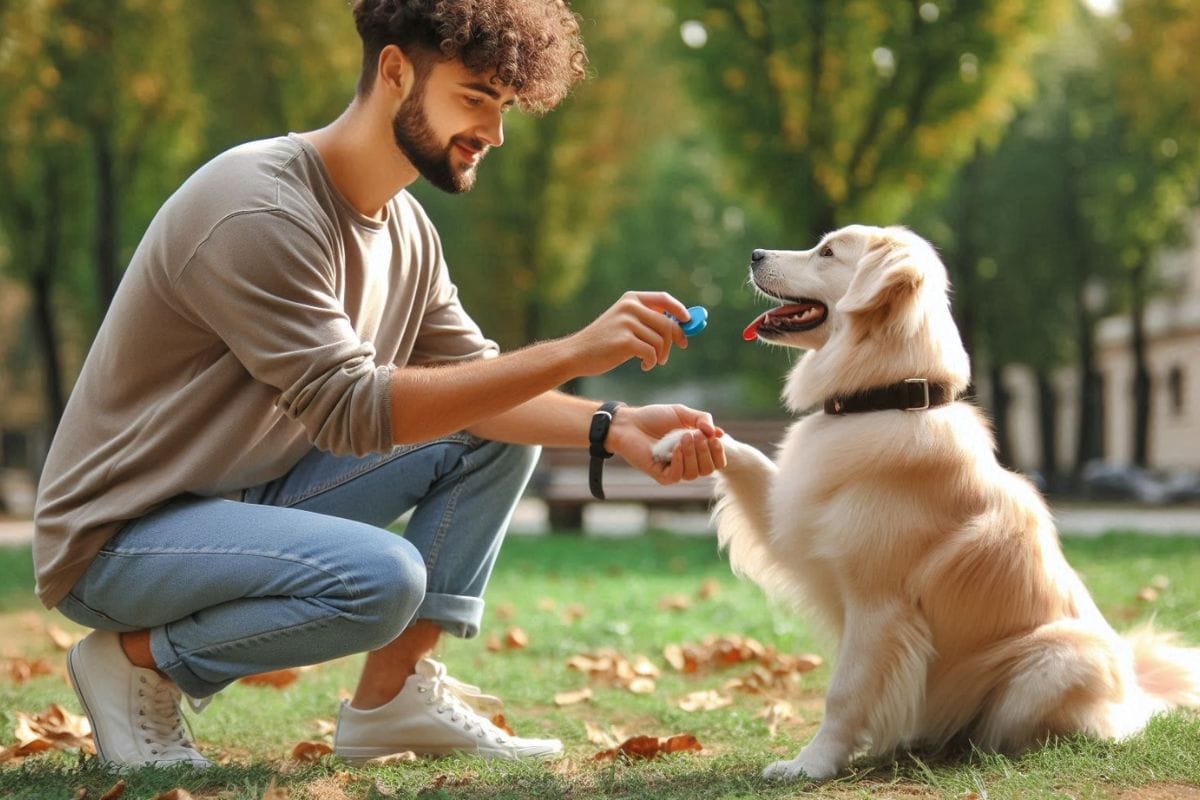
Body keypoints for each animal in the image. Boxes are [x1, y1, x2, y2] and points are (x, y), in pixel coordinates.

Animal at [657, 224, 1200, 782]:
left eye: (827, 252)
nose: (755, 253)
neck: (885, 399)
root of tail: (1137, 696)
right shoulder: (791, 516)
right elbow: (742, 455)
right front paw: (681, 438)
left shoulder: (878, 605)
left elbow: (843, 694)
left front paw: (811, 764)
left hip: (1059, 658)